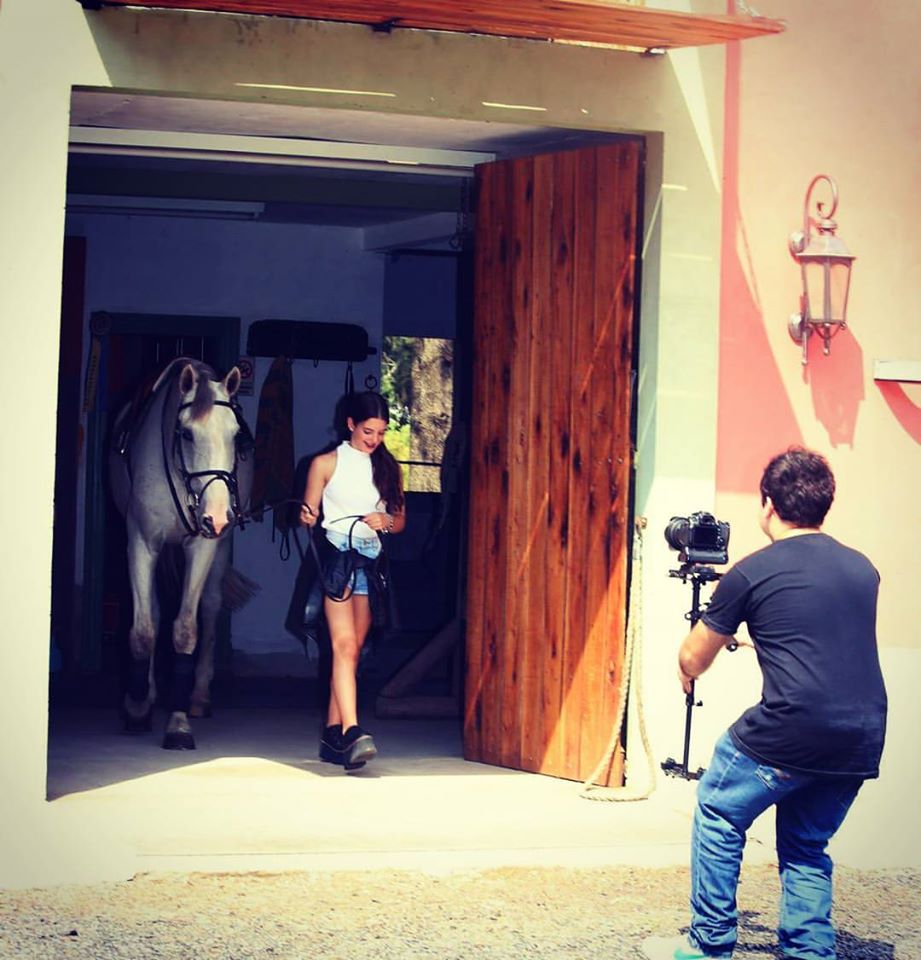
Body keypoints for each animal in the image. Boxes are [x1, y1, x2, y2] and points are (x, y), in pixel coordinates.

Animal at [109, 357, 254, 749]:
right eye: (187, 434)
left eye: (236, 434)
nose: (217, 515)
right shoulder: (141, 542)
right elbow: (144, 628)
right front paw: (136, 707)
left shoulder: (203, 544)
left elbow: (186, 630)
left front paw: (177, 725)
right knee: (156, 614)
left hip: (219, 549)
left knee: (211, 606)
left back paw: (199, 697)